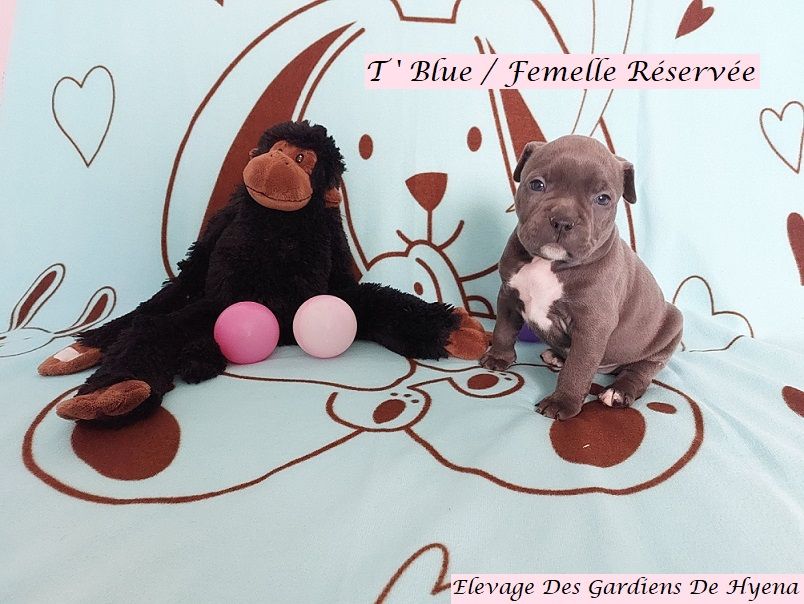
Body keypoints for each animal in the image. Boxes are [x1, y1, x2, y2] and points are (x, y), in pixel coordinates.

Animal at [480, 135, 683, 420]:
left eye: (602, 199)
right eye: (537, 184)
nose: (563, 221)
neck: (549, 264)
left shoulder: (592, 326)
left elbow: (579, 367)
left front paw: (562, 402)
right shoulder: (508, 294)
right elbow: (504, 328)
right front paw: (498, 357)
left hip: (670, 328)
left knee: (640, 371)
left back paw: (618, 391)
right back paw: (556, 356)